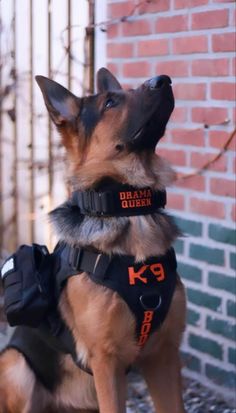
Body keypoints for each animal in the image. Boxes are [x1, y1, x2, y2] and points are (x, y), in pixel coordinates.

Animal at [0, 68, 186, 412]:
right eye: (110, 102)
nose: (164, 80)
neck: (128, 208)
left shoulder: (165, 357)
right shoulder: (106, 363)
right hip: (16, 365)